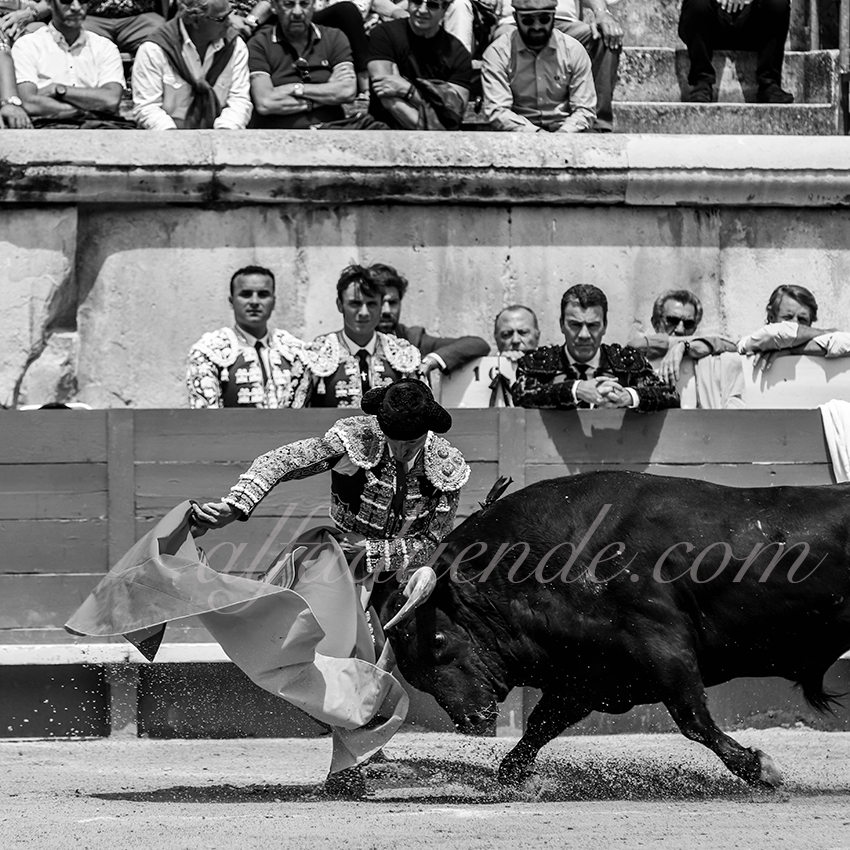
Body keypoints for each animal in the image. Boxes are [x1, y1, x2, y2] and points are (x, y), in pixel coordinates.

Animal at [380, 468, 848, 784]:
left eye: (438, 638)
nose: (470, 719)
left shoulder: (663, 647)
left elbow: (693, 720)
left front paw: (760, 768)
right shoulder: (588, 674)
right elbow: (540, 725)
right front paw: (511, 777)